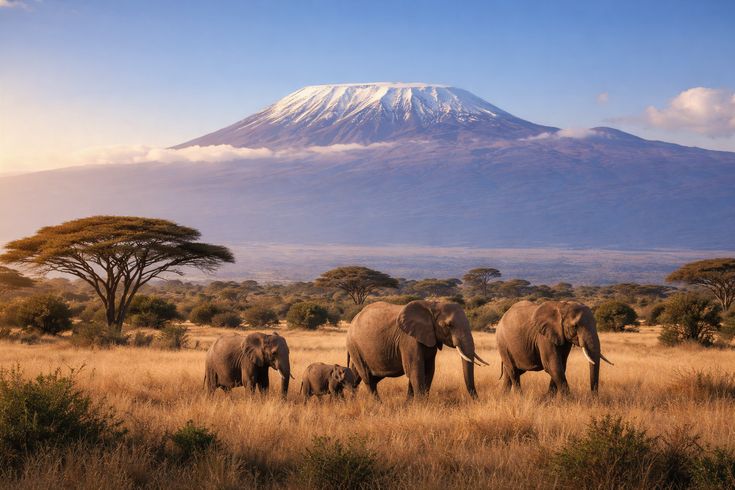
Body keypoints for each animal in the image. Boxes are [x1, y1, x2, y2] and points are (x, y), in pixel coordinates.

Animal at [346, 300, 489, 399]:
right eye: (449, 325)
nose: (477, 401)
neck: (432, 306)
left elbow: (428, 370)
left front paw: (410, 405)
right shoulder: (408, 339)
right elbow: (415, 370)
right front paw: (421, 406)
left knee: (356, 376)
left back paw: (351, 402)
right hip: (354, 346)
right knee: (368, 379)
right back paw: (379, 405)